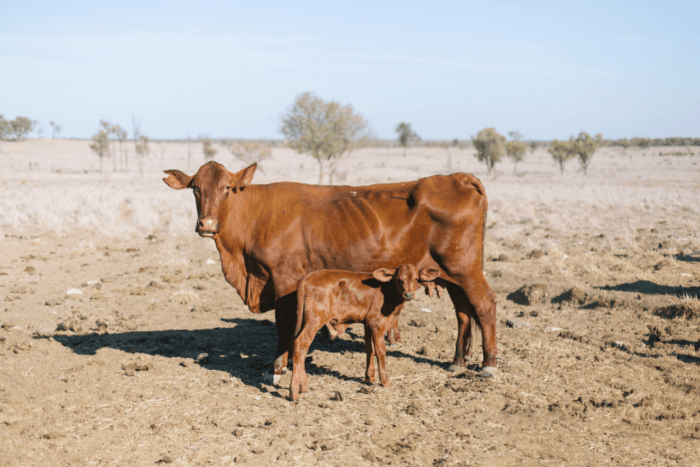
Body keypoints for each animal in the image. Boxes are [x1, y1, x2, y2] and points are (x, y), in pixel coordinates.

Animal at [163, 161, 498, 383]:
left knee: (484, 305)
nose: (207, 224)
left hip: (465, 270)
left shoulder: (284, 281)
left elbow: (284, 327)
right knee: (463, 313)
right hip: (449, 275)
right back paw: (457, 362)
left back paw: (489, 364)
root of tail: (458, 177)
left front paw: (277, 369)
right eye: (195, 188)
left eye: (227, 189)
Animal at [290, 264, 440, 401]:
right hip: (315, 320)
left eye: (416, 279)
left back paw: (302, 385)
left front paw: (369, 377)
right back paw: (294, 391)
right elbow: (380, 350)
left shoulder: (367, 324)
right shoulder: (377, 324)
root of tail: (309, 276)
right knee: (301, 344)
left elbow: (369, 349)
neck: (388, 292)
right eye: (398, 279)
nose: (408, 294)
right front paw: (384, 381)